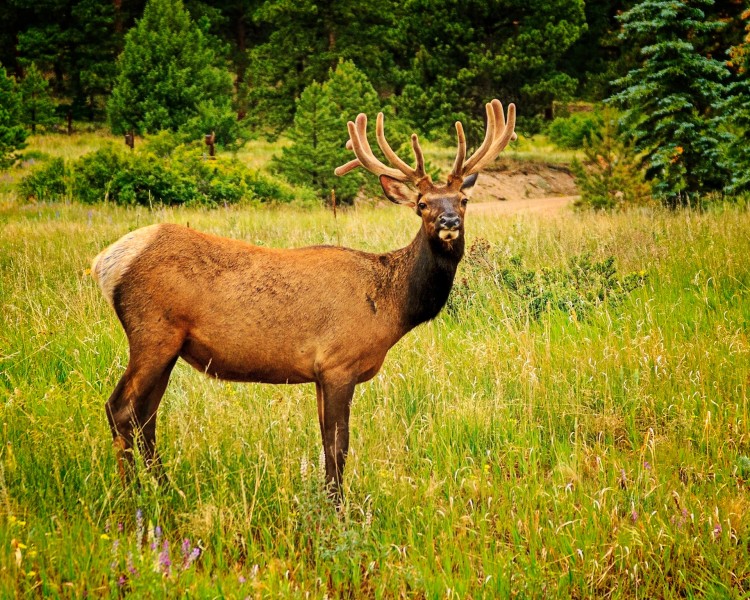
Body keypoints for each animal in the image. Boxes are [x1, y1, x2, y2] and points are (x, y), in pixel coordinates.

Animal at [92, 98, 516, 500]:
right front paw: (338, 510)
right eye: (422, 203)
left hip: (170, 346)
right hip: (152, 332)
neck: (389, 306)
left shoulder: (319, 373)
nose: (449, 223)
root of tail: (105, 261)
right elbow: (339, 445)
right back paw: (131, 496)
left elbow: (325, 442)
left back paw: (164, 489)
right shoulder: (338, 363)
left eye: (463, 200)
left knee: (146, 416)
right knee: (120, 409)